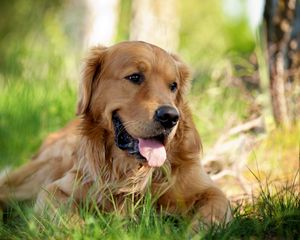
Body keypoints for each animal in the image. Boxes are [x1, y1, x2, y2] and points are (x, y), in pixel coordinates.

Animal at [0, 40, 232, 225]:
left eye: (173, 86)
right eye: (135, 77)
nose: (170, 117)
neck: (132, 170)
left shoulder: (209, 190)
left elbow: (214, 209)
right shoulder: (56, 189)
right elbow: (68, 216)